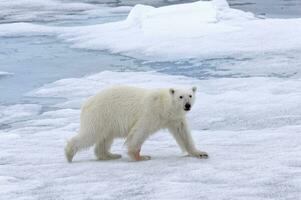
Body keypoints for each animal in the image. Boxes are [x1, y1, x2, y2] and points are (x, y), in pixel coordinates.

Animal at [64, 85, 207, 162]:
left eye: (190, 95)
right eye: (180, 97)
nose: (187, 105)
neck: (164, 106)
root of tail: (87, 103)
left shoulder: (174, 119)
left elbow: (183, 134)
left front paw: (200, 153)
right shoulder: (151, 113)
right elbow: (140, 131)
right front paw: (141, 156)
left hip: (107, 122)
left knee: (105, 138)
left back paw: (111, 155)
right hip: (101, 115)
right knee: (90, 134)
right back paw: (69, 154)